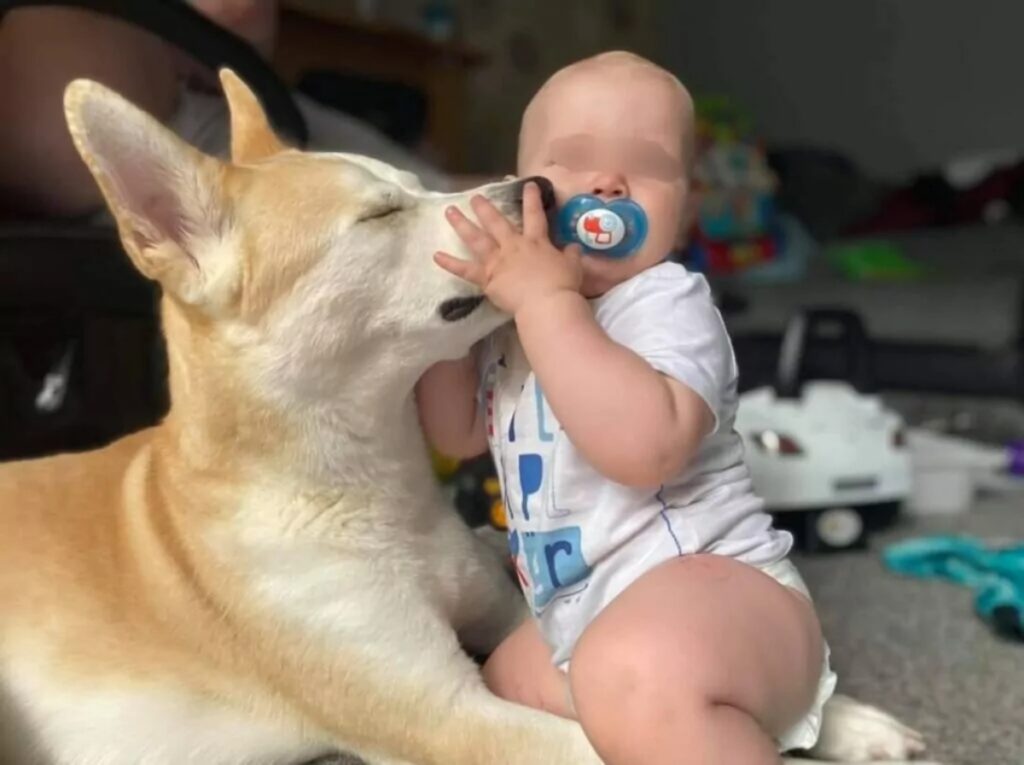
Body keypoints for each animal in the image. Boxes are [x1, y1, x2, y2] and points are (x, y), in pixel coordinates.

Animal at [0, 70, 937, 765]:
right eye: (381, 214)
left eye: (416, 184)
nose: (540, 186)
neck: (373, 488)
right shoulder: (445, 711)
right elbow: (599, 743)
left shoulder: (508, 616)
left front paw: (841, 714)